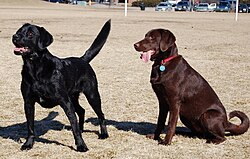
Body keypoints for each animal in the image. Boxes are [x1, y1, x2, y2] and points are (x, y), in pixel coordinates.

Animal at [12, 19, 111, 152]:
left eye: (30, 34)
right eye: (19, 31)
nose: (15, 36)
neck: (35, 68)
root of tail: (83, 60)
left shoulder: (65, 101)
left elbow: (73, 125)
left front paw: (81, 146)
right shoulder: (28, 102)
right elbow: (30, 126)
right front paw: (28, 144)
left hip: (92, 95)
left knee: (100, 114)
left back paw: (104, 134)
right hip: (73, 97)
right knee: (82, 110)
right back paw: (82, 129)